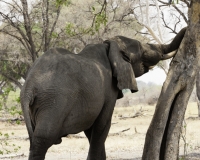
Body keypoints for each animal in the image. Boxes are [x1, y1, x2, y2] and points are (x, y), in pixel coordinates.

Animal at [20, 26, 186, 159]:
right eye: (141, 49)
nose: (186, 29)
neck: (109, 45)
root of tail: (29, 86)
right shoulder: (108, 89)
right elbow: (103, 125)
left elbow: (91, 131)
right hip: (54, 102)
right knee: (42, 140)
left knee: (35, 141)